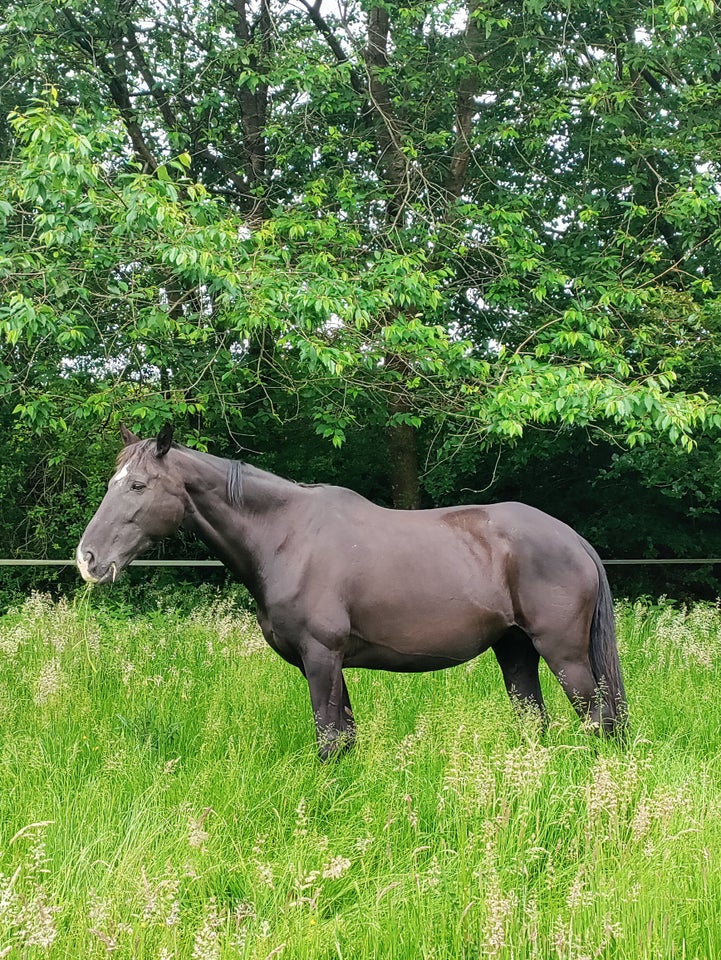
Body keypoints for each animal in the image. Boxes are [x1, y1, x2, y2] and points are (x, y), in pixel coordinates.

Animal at [74, 428, 624, 756]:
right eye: (112, 482)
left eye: (139, 486)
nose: (88, 559)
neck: (286, 536)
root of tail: (572, 537)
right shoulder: (327, 664)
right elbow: (345, 739)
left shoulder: (321, 657)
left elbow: (328, 739)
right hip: (515, 650)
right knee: (535, 722)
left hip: (563, 654)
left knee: (598, 719)